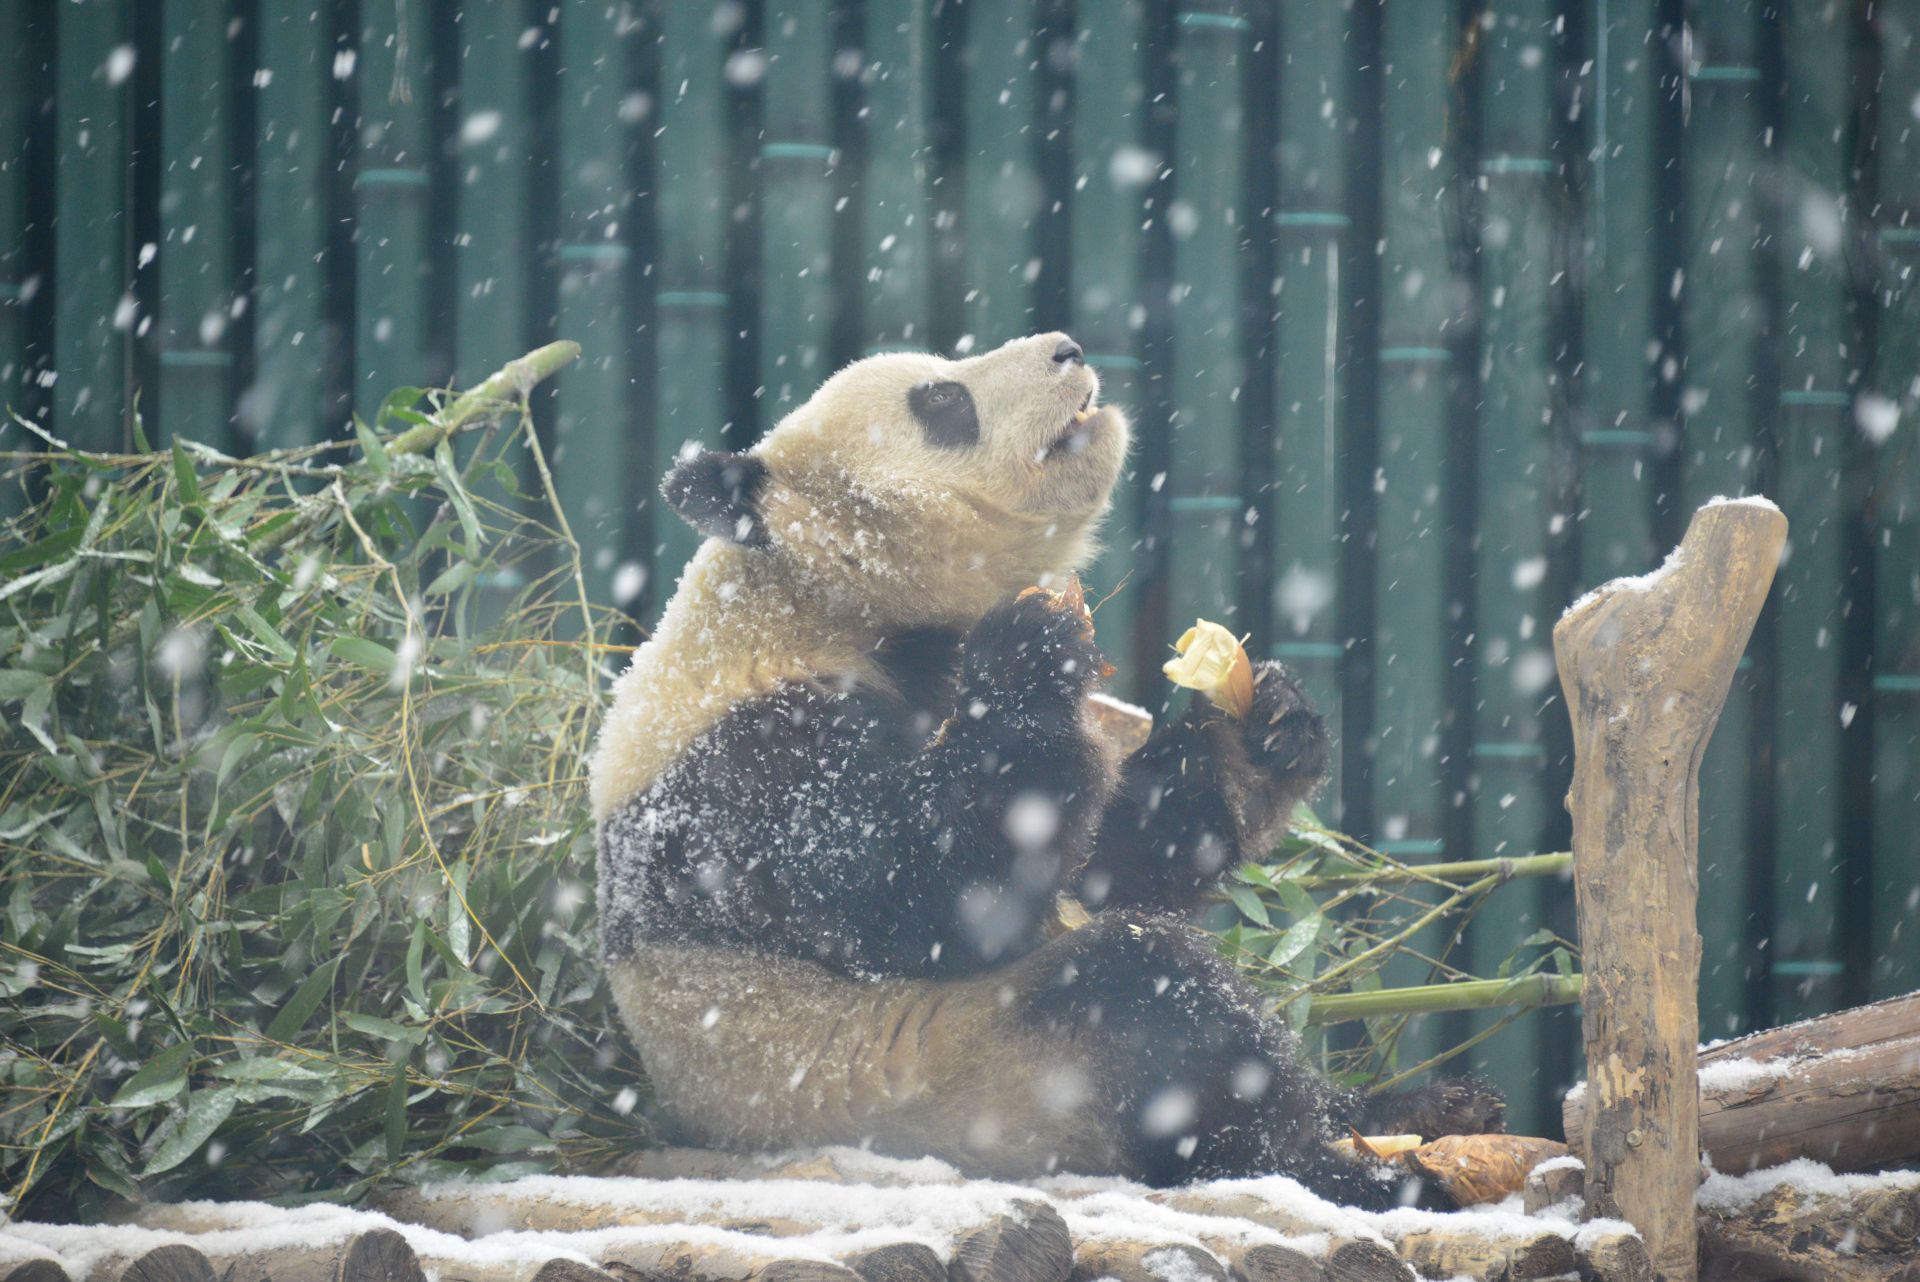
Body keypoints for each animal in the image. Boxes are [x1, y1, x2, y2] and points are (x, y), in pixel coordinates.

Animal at [587, 330, 1497, 1205]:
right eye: (942, 400)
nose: (1069, 350)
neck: (820, 599)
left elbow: (1109, 865)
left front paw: (1266, 722)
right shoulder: (745, 771)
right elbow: (925, 891)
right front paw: (1028, 655)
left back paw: (1423, 1110)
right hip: (976, 1080)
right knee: (1150, 1003)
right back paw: (1349, 1171)